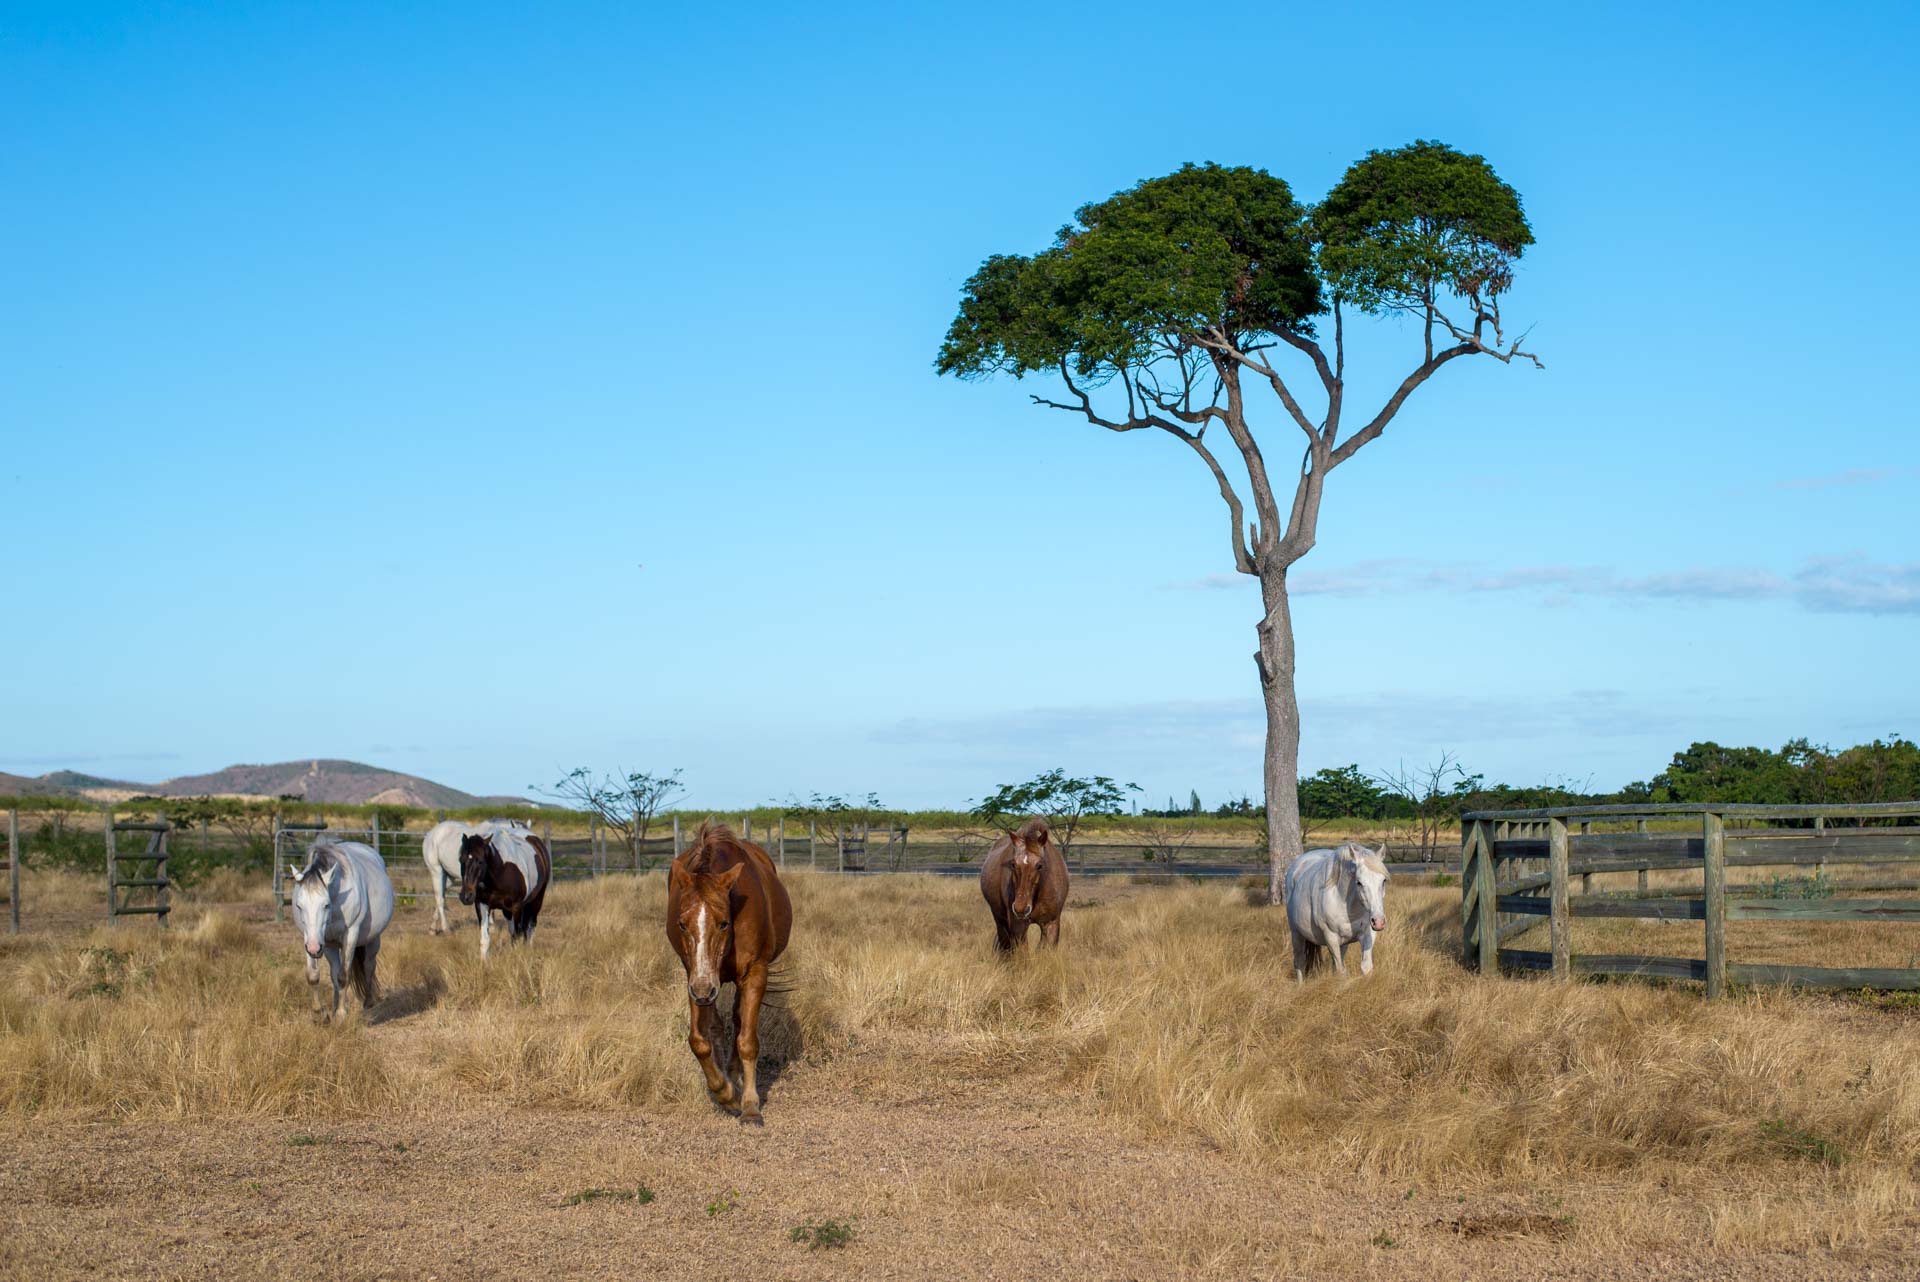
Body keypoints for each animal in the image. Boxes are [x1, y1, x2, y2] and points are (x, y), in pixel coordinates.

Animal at [286, 840, 395, 1020]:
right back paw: (335, 1006)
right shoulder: (312, 938)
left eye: (326, 904)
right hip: (329, 945)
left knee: (368, 965)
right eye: (299, 906)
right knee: (334, 973)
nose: (314, 948)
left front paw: (342, 1015)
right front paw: (320, 1014)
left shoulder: (350, 935)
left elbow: (344, 976)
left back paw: (368, 1002)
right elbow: (314, 976)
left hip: (373, 940)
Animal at [664, 821, 791, 1120]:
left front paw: (750, 1105)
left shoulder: (755, 974)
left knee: (738, 1018)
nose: (703, 990)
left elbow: (748, 1040)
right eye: (682, 924)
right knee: (720, 1025)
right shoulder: (694, 976)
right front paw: (725, 1093)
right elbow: (699, 1040)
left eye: (723, 923)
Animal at [983, 817, 1075, 948]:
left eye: (1039, 865)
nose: (1020, 909)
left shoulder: (1051, 924)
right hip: (1000, 920)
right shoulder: (1018, 927)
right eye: (1013, 864)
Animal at [1282, 840, 1390, 982]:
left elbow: (1366, 967)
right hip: (1297, 934)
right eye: (1359, 882)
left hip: (1343, 943)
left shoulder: (1367, 934)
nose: (1378, 922)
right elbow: (1340, 971)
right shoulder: (1331, 937)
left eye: (1383, 881)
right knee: (1299, 962)